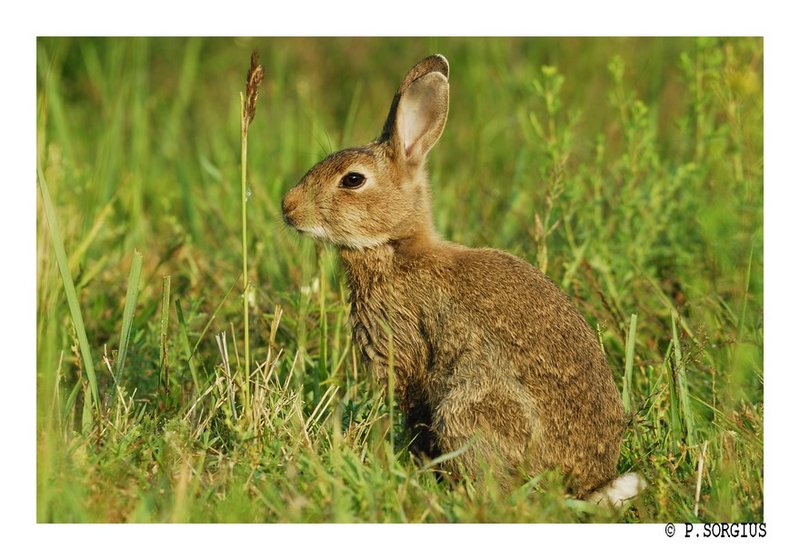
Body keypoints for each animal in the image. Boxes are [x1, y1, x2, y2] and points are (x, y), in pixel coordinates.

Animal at [282, 54, 645, 504]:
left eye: (352, 180)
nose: (287, 208)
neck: (394, 246)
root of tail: (586, 482)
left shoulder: (401, 351)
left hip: (467, 407)